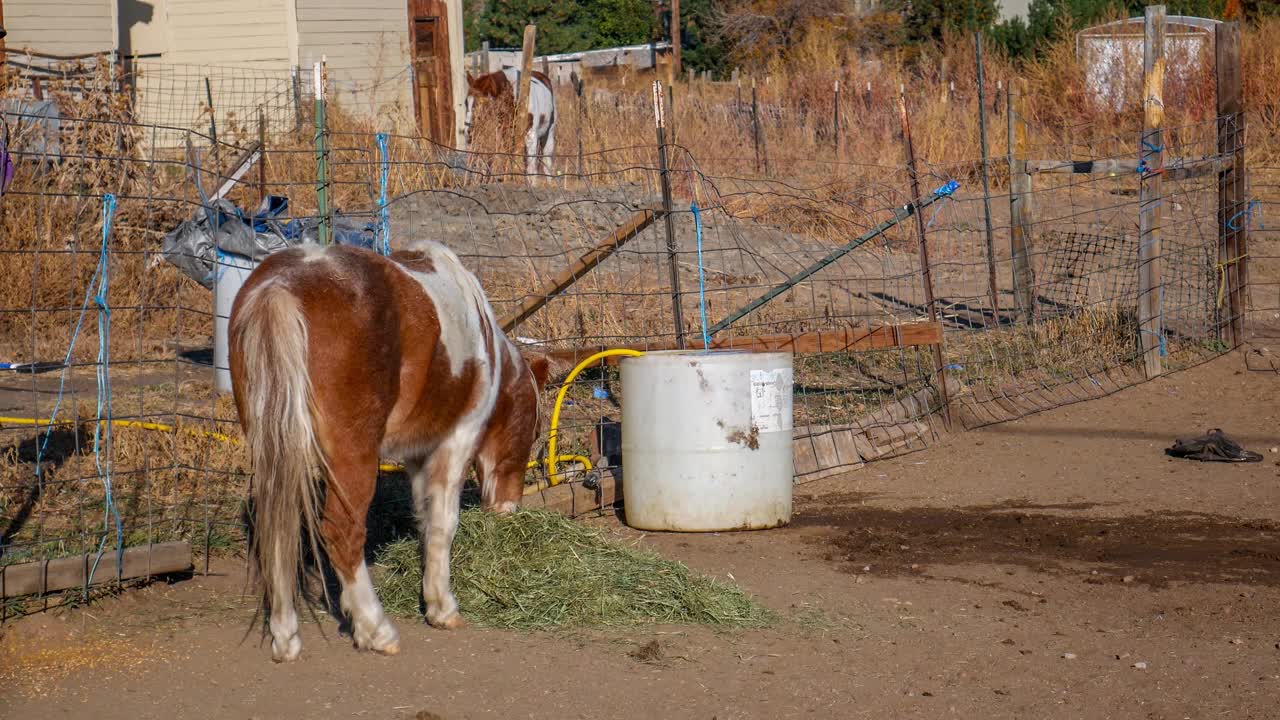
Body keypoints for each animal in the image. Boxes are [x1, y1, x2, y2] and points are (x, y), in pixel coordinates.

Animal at [227, 238, 547, 661]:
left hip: (276, 453)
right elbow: (443, 523)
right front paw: (443, 608)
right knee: (342, 533)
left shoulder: (416, 456)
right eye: (533, 430)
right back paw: (375, 630)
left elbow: (424, 519)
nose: (509, 509)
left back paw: (286, 637)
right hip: (353, 458)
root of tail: (279, 287)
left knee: (278, 534)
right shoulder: (456, 440)